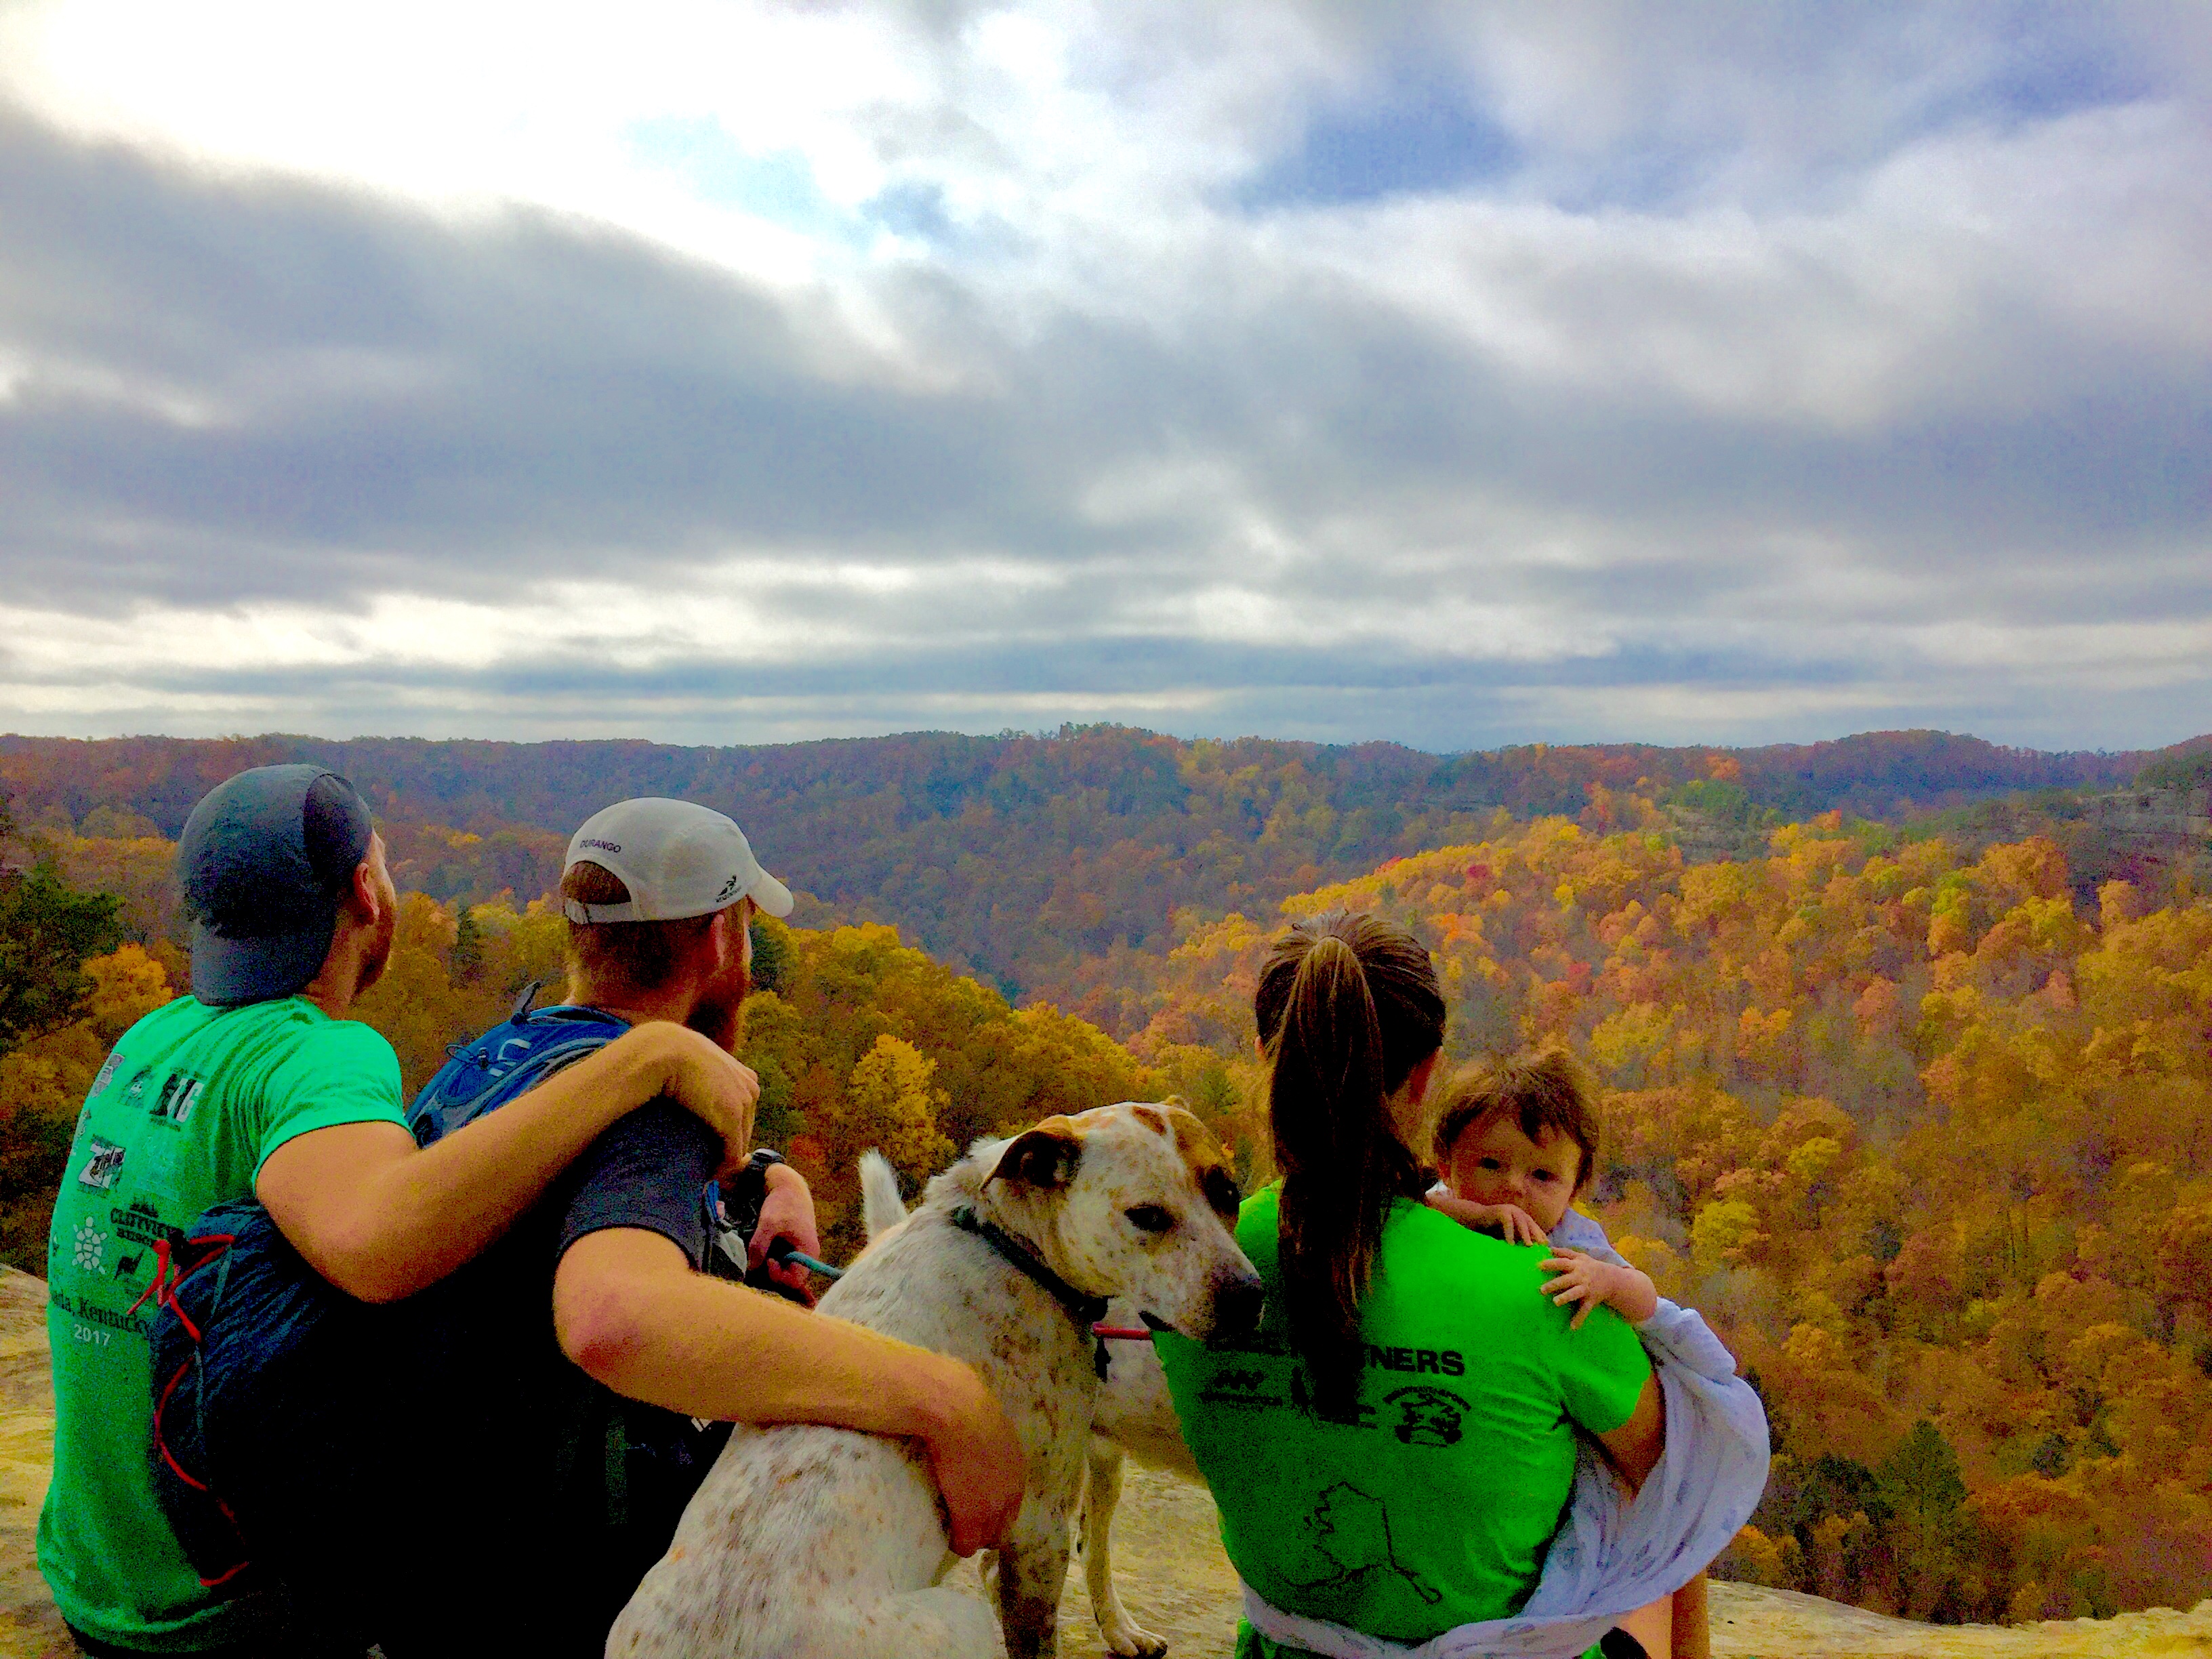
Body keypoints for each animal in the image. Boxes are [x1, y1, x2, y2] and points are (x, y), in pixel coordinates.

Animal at [606, 1106, 1265, 1659]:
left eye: (1228, 1193)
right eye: (1146, 1217)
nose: (1250, 1299)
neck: (1005, 1240)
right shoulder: (1038, 1529)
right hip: (963, 1620)